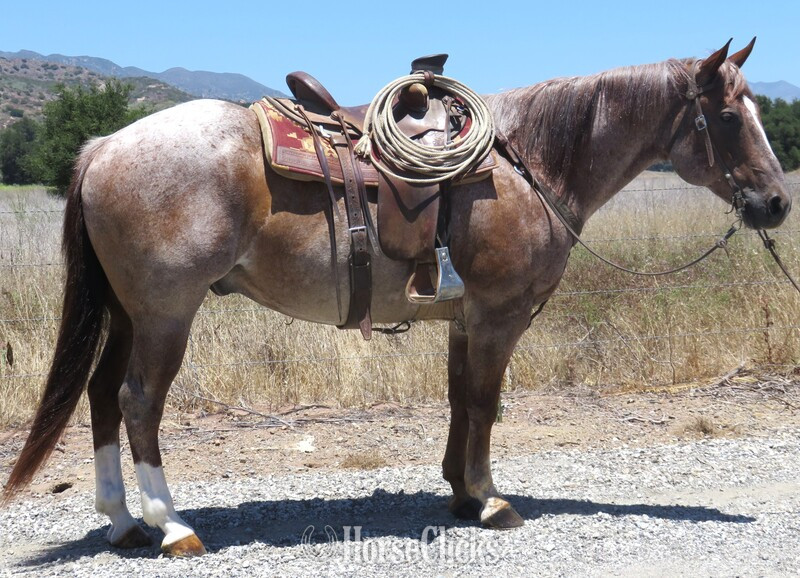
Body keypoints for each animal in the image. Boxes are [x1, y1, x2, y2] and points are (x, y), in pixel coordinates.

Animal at [3, 39, 790, 557]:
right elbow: (485, 403)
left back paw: (121, 521)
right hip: (166, 312)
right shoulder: (499, 315)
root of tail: (104, 146)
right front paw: (491, 499)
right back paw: (171, 524)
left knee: (102, 396)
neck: (529, 164)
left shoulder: (465, 319)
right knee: (137, 401)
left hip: (128, 311)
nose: (778, 203)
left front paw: (460, 492)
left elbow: (460, 400)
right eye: (728, 118)